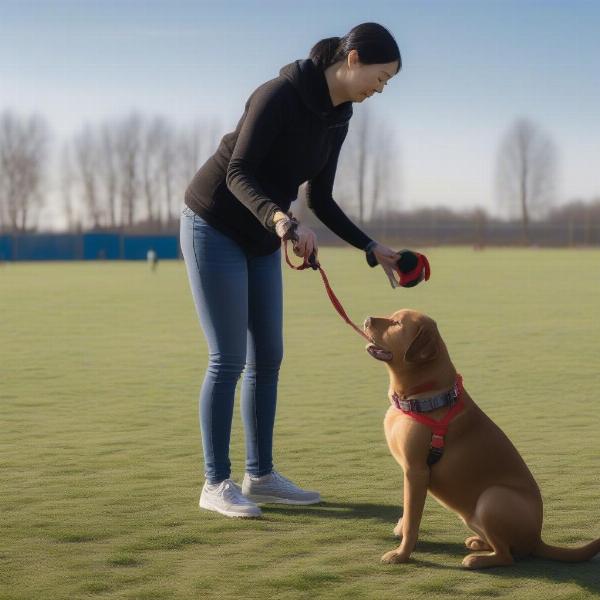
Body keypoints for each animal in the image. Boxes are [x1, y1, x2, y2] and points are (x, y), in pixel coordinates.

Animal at [364, 310, 596, 568]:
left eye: (396, 323)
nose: (367, 319)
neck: (423, 396)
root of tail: (537, 539)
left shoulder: (417, 471)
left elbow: (413, 520)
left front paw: (402, 554)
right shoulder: (410, 473)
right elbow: (407, 514)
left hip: (493, 498)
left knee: (507, 556)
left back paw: (477, 560)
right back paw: (478, 543)